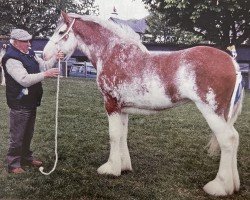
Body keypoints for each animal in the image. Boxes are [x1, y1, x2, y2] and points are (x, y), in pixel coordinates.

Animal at [43, 11, 244, 196]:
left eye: (61, 32)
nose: (44, 55)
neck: (112, 53)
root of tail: (232, 63)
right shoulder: (123, 109)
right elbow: (122, 135)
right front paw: (123, 166)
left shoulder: (111, 105)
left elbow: (113, 136)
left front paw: (110, 169)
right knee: (235, 138)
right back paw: (234, 185)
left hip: (211, 111)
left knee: (228, 140)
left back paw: (219, 186)